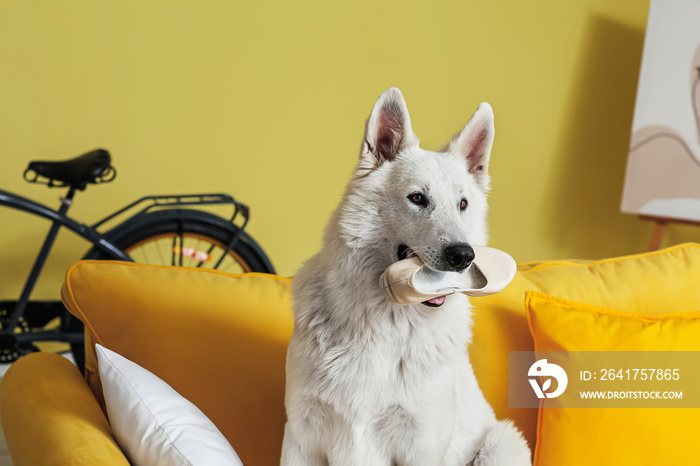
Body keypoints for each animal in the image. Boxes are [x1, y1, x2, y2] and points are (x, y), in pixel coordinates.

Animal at [282, 88, 528, 466]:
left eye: (462, 204)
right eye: (417, 198)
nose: (463, 256)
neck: (385, 323)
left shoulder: (421, 446)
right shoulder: (300, 438)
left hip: (501, 443)